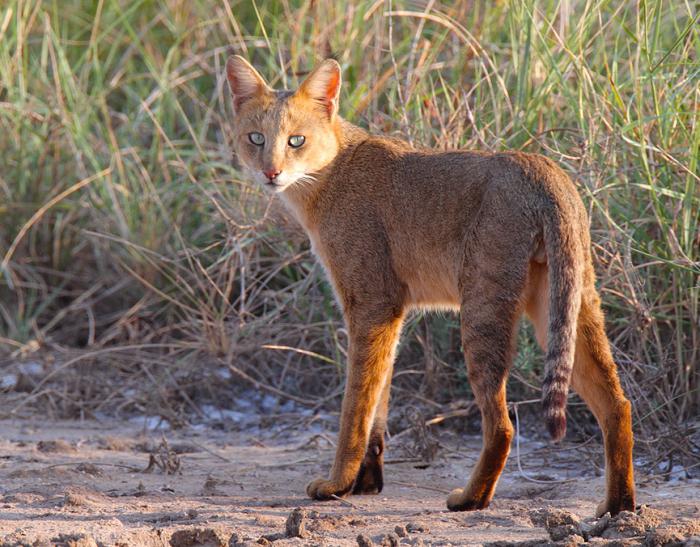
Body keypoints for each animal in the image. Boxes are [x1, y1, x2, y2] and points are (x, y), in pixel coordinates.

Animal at [223, 53, 636, 516]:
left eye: (296, 141)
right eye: (256, 138)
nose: (271, 172)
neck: (327, 175)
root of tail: (541, 167)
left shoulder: (372, 302)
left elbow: (356, 405)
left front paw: (336, 484)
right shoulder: (390, 311)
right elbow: (379, 399)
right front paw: (365, 482)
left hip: (483, 310)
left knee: (503, 425)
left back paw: (471, 499)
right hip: (567, 308)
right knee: (618, 405)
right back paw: (618, 508)